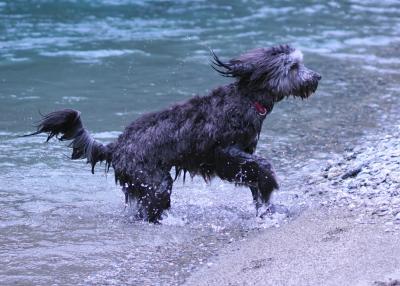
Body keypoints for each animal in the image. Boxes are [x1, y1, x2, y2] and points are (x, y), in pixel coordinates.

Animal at [27, 45, 322, 223]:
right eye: (293, 66)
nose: (317, 77)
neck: (247, 99)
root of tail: (116, 146)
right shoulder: (224, 154)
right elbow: (260, 166)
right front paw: (270, 184)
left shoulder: (243, 156)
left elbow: (256, 179)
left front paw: (267, 206)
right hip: (155, 182)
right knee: (150, 207)